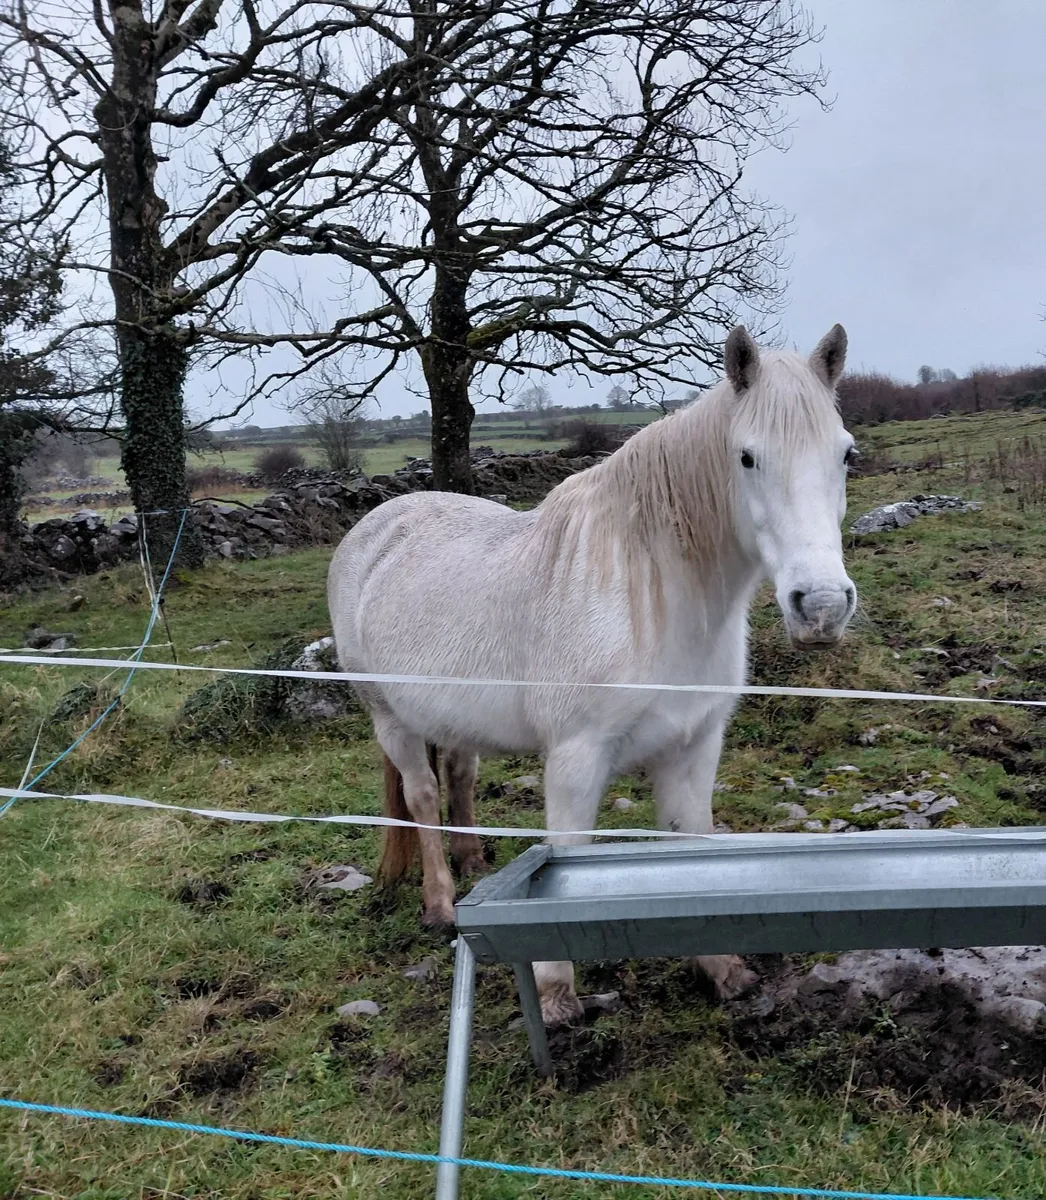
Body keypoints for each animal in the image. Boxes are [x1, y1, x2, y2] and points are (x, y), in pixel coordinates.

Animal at [328, 323, 857, 1025]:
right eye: (746, 458)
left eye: (846, 454)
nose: (820, 606)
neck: (652, 597)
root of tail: (374, 528)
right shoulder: (576, 761)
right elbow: (566, 868)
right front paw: (557, 995)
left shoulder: (693, 748)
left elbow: (695, 845)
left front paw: (723, 971)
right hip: (391, 721)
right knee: (421, 798)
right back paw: (440, 905)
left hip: (454, 718)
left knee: (459, 777)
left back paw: (473, 860)